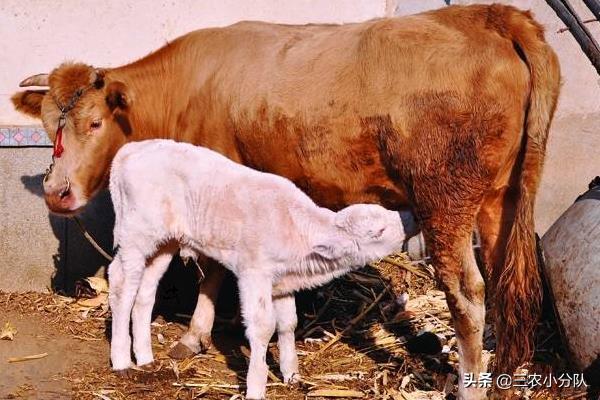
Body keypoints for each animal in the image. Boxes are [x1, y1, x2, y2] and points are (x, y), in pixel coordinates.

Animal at [109, 139, 406, 398]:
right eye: (378, 231)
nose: (405, 223)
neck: (297, 229)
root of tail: (128, 150)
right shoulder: (253, 274)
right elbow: (263, 327)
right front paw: (256, 387)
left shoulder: (282, 281)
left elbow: (288, 323)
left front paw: (291, 375)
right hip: (135, 235)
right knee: (121, 284)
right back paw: (122, 360)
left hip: (164, 243)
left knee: (144, 290)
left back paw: (144, 358)